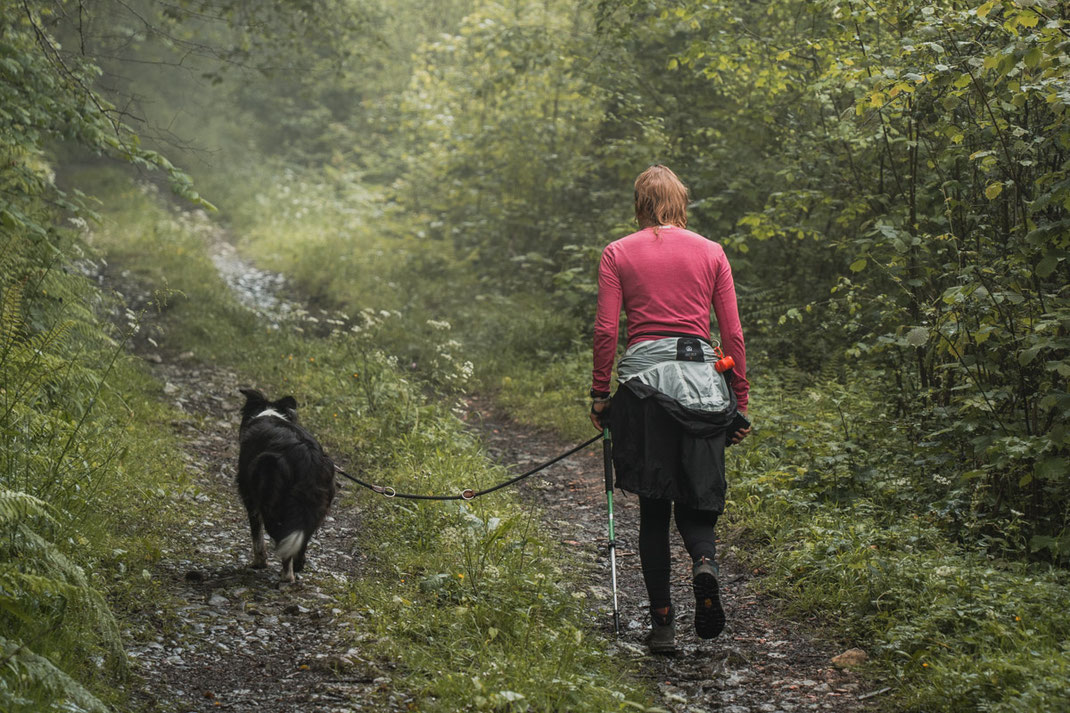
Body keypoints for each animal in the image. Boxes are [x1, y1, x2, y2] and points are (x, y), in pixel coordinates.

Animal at [237, 385, 333, 582]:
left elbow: (257, 537)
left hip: (271, 500)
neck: (269, 412)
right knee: (301, 539)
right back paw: (298, 567)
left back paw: (287, 576)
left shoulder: (250, 498)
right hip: (315, 507)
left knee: (282, 540)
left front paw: (259, 563)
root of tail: (307, 457)